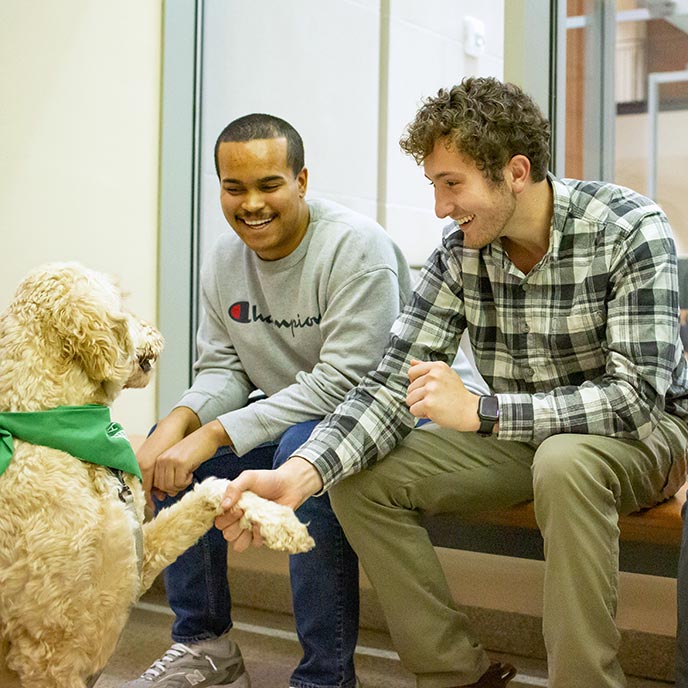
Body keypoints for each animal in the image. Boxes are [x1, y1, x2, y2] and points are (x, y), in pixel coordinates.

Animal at [0, 264, 314, 688]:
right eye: (121, 301)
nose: (155, 329)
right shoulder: (48, 649)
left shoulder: (137, 559)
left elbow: (215, 489)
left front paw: (281, 522)